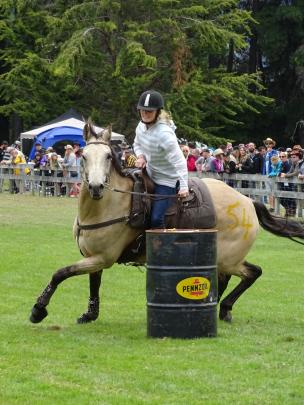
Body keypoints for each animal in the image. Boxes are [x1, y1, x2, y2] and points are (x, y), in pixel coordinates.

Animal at [29, 121, 304, 324]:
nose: (96, 186)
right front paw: (89, 314)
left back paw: (223, 307)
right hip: (223, 257)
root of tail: (247, 201)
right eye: (84, 156)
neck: (104, 208)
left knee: (252, 272)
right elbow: (93, 283)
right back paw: (219, 307)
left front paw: (38, 309)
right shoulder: (92, 256)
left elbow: (60, 273)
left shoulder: (102, 257)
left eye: (108, 156)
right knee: (233, 276)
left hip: (229, 258)